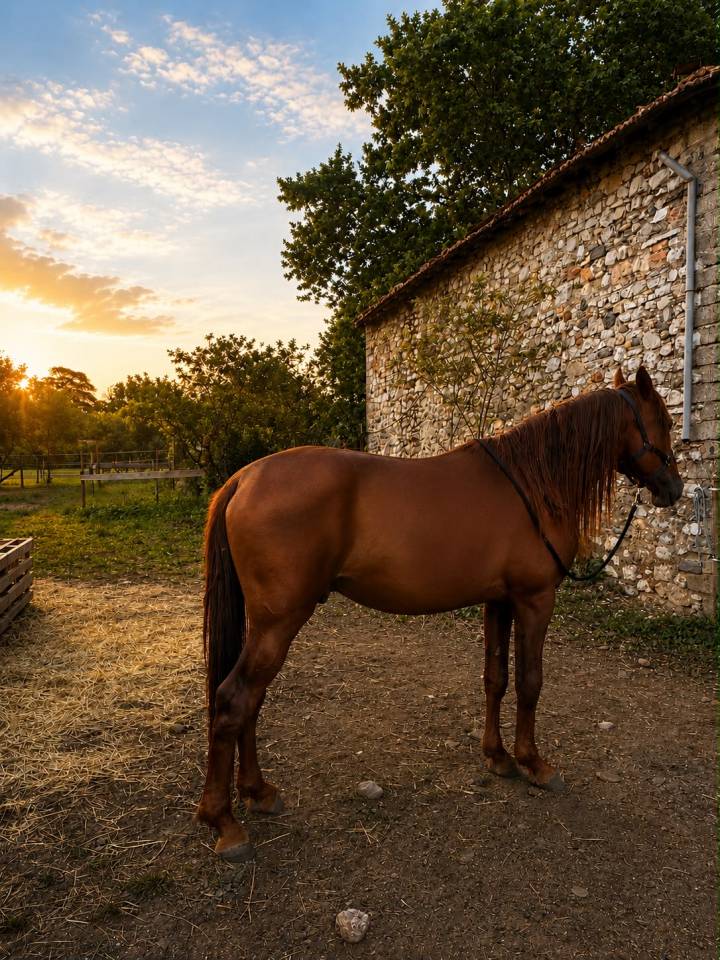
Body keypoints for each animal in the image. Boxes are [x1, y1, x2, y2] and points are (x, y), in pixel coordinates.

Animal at [196, 365, 682, 862]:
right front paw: (535, 764)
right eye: (663, 419)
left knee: (251, 701)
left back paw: (258, 792)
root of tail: (244, 478)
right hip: (279, 623)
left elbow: (495, 679)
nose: (674, 488)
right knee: (235, 699)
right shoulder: (535, 600)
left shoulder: (499, 601)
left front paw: (498, 757)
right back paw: (226, 824)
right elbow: (530, 682)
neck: (534, 482)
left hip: (266, 626)